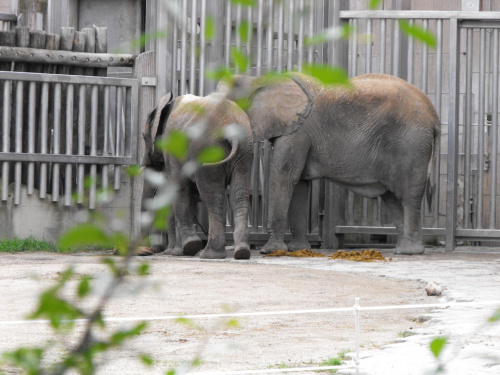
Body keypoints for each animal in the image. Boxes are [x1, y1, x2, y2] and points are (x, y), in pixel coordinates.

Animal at [144, 92, 254, 260]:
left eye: (144, 137)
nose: (148, 250)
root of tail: (232, 132)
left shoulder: (172, 146)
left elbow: (180, 187)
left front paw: (187, 249)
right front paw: (181, 251)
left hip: (208, 149)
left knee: (212, 194)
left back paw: (209, 254)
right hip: (245, 150)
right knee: (239, 193)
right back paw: (242, 252)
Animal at [221, 73, 440, 256]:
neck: (258, 79)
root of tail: (434, 113)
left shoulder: (298, 130)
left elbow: (284, 176)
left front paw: (271, 251)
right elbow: (299, 183)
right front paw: (298, 249)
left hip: (411, 144)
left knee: (408, 195)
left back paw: (407, 251)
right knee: (392, 197)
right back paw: (404, 248)